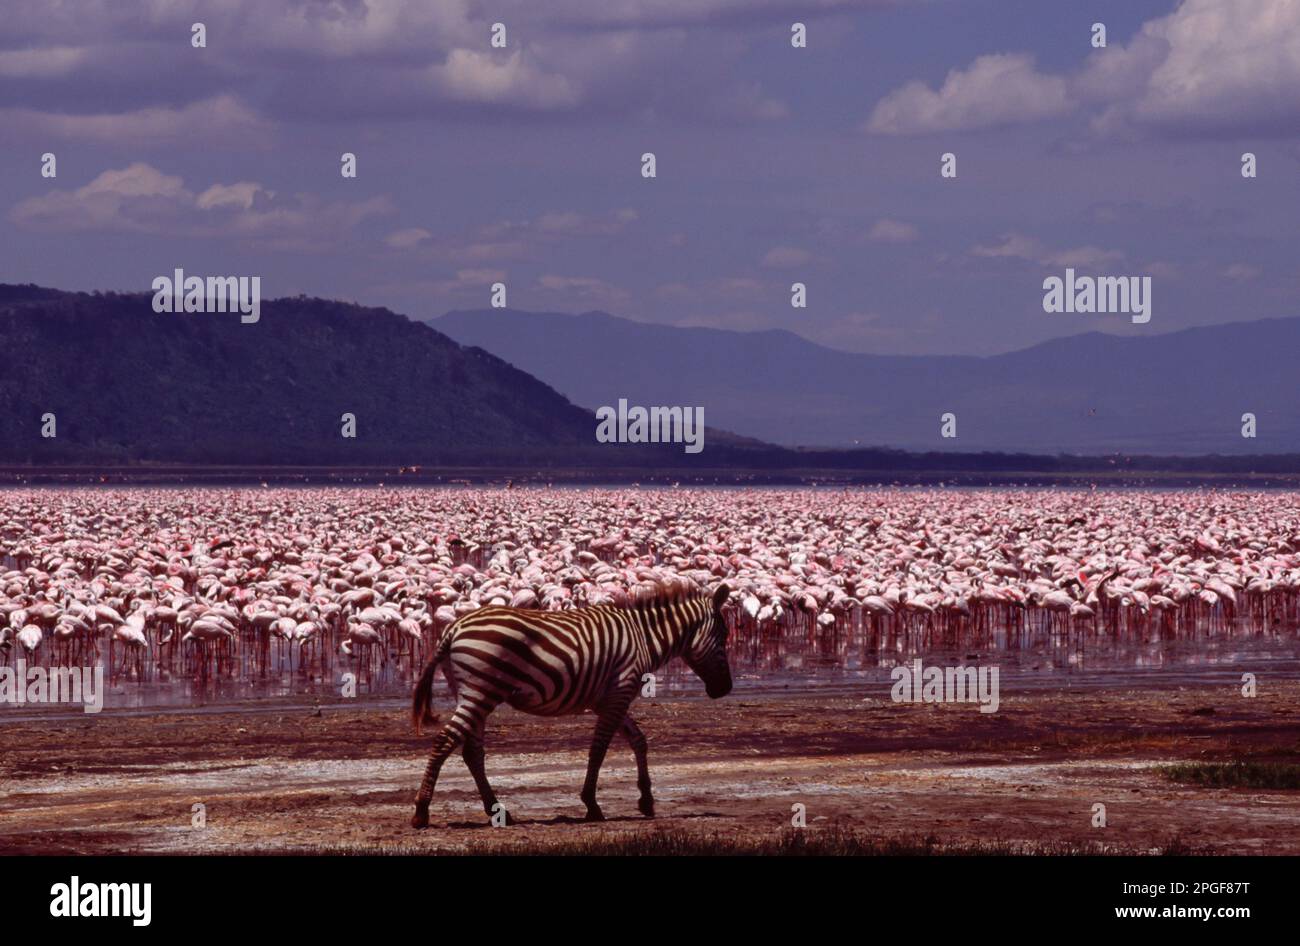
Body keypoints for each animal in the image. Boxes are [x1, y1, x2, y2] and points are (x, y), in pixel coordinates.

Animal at [408, 584, 733, 826]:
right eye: (723, 637)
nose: (726, 689)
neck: (643, 636)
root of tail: (454, 628)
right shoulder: (619, 692)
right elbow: (599, 750)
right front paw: (592, 804)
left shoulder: (609, 698)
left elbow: (638, 741)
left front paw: (646, 801)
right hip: (479, 691)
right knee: (445, 741)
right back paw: (421, 811)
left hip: (475, 694)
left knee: (472, 752)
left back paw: (498, 810)